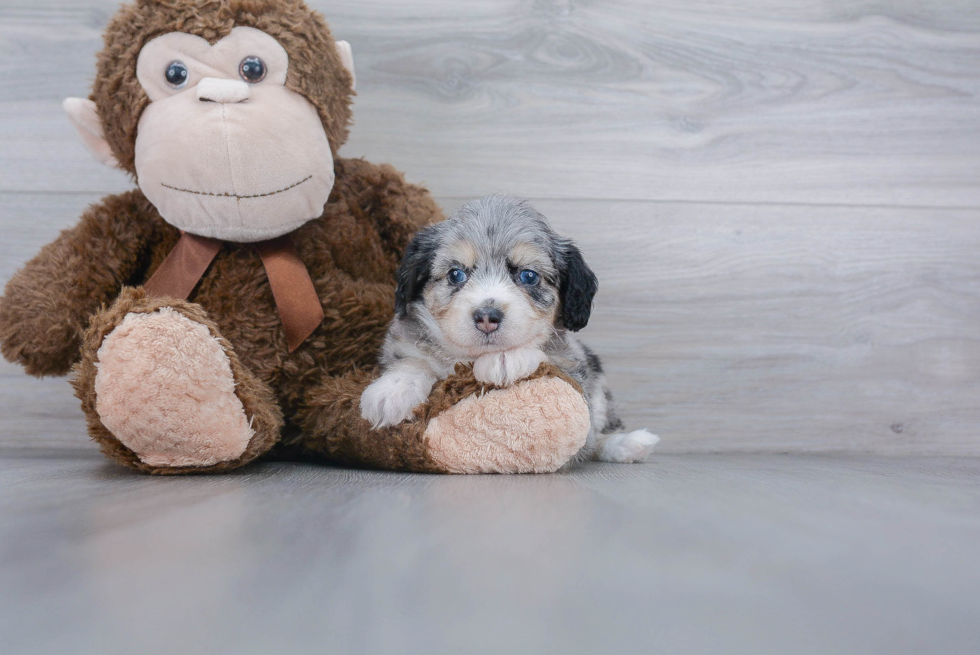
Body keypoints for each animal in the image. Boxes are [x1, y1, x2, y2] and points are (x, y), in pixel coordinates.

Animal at [360, 192, 660, 464]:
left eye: (528, 276)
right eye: (456, 274)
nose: (486, 316)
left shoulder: (575, 373)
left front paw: (505, 358)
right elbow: (414, 358)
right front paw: (392, 391)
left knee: (599, 434)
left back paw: (628, 444)